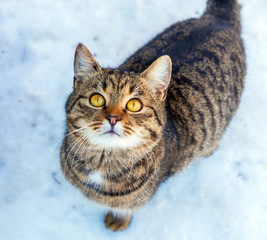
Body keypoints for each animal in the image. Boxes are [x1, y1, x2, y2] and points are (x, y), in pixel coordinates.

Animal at [60, 0, 247, 232]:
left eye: (134, 105)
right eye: (97, 99)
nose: (112, 118)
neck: (103, 163)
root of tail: (217, 19)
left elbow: (125, 208)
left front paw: (118, 220)